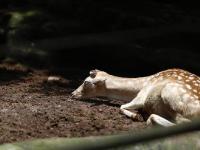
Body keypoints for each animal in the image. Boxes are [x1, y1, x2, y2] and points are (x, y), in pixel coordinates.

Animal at [71, 69, 200, 126]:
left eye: (86, 82)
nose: (72, 93)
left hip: (170, 91)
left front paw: (137, 116)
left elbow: (122, 106)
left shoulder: (142, 96)